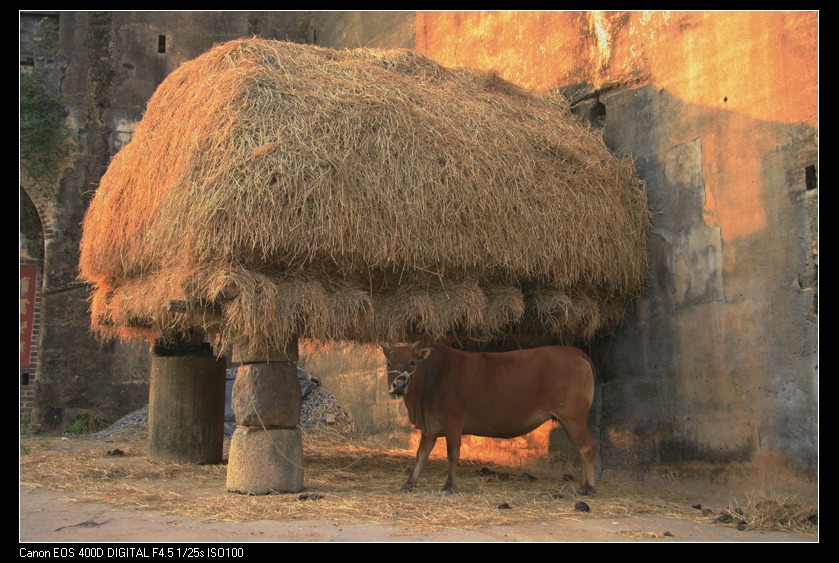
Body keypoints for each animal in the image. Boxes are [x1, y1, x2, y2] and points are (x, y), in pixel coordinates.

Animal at [380, 342, 596, 496]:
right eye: (388, 363)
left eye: (412, 362)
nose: (399, 384)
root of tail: (575, 352)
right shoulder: (431, 428)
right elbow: (421, 454)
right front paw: (409, 483)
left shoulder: (453, 422)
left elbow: (453, 454)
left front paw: (449, 486)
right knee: (581, 450)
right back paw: (583, 485)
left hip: (573, 418)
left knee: (586, 448)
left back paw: (588, 488)